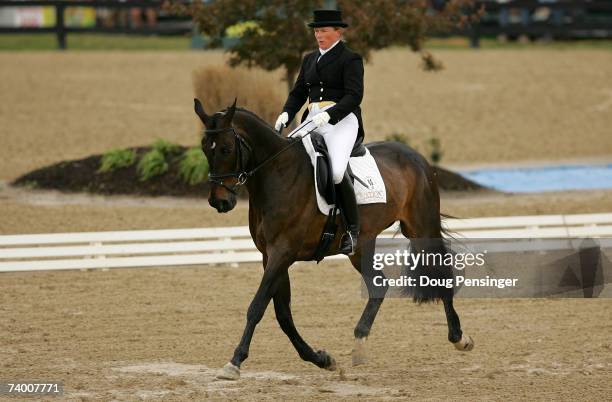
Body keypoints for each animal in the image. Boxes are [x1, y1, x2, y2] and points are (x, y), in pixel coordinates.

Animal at [195, 98, 474, 380]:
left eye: (227, 149)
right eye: (205, 149)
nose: (219, 202)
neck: (278, 173)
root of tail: (415, 156)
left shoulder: (282, 252)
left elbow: (257, 307)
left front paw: (234, 362)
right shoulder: (271, 255)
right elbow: (283, 314)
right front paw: (322, 359)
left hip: (421, 227)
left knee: (440, 272)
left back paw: (459, 338)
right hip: (361, 246)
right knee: (379, 285)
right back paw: (360, 343)